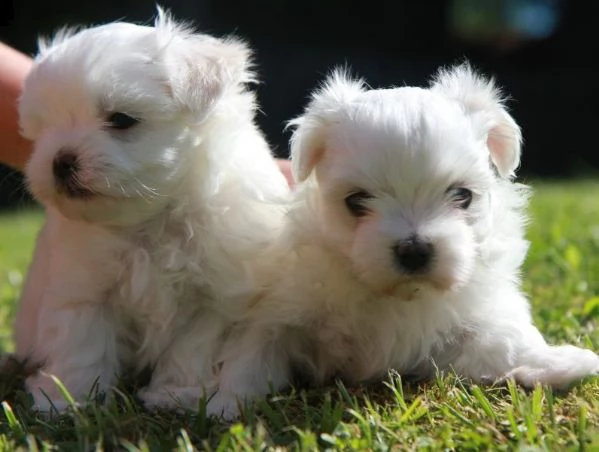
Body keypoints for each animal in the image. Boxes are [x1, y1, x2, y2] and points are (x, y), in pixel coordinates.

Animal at [15, 10, 290, 414]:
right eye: (46, 126)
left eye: (121, 119)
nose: (60, 161)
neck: (151, 218)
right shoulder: (83, 285)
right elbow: (82, 341)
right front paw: (69, 398)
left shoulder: (213, 299)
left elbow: (190, 349)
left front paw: (175, 393)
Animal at [210, 65, 599, 418]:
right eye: (356, 201)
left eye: (462, 195)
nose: (414, 250)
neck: (391, 294)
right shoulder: (279, 310)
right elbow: (254, 352)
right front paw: (225, 403)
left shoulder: (471, 316)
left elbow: (506, 340)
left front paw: (558, 361)